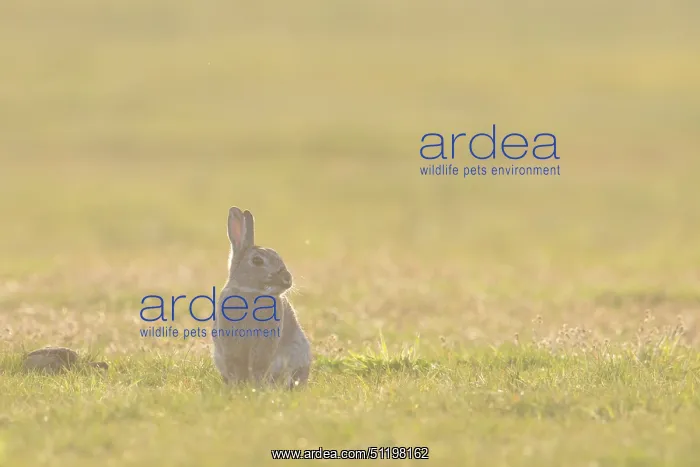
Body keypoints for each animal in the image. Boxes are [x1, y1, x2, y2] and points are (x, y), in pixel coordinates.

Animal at [212, 207, 312, 389]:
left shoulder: (265, 342)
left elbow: (259, 364)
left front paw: (254, 385)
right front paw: (239, 385)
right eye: (257, 261)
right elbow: (236, 364)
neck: (251, 292)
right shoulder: (230, 341)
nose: (287, 279)